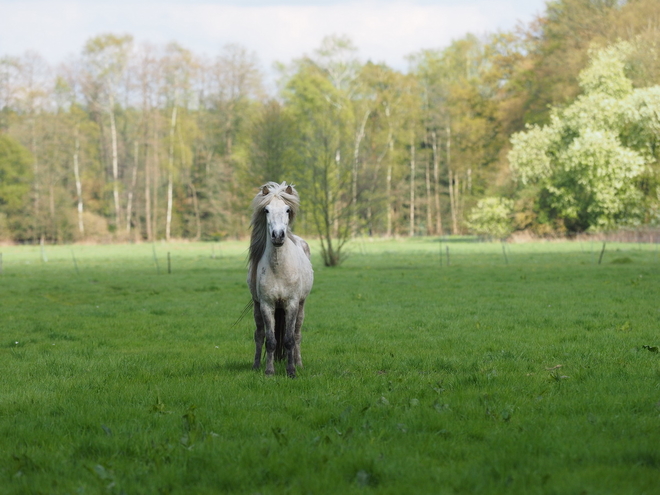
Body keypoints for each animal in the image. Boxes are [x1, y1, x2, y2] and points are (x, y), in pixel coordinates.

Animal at [248, 182, 314, 380]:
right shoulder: (266, 305)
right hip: (257, 307)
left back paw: (299, 363)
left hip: (301, 305)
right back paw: (256, 366)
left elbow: (289, 339)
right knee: (259, 335)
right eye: (267, 210)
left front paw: (291, 371)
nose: (278, 235)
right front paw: (269, 371)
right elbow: (270, 340)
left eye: (287, 209)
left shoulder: (291, 304)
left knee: (297, 334)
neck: (279, 268)